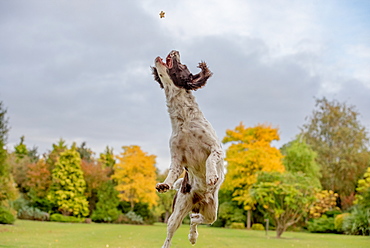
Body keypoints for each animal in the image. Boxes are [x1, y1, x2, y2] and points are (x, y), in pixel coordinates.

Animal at [151, 50, 225, 248]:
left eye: (182, 66)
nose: (174, 51)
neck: (184, 120)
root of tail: (197, 200)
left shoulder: (216, 148)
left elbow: (210, 159)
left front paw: (211, 176)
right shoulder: (176, 158)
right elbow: (172, 173)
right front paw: (165, 184)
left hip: (211, 211)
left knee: (197, 219)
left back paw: (193, 236)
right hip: (177, 212)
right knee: (177, 229)